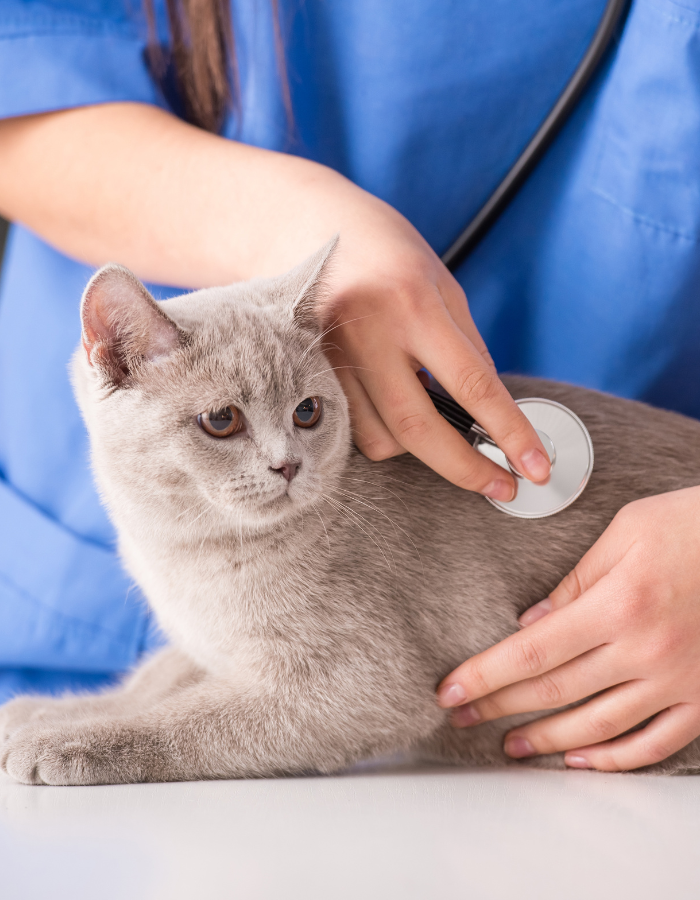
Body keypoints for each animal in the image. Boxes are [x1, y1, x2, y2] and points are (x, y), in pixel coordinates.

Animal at [1, 237, 700, 780]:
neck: (186, 558)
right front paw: (45, 710)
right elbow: (156, 677)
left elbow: (192, 720)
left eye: (307, 411)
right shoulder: (204, 644)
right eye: (222, 420)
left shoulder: (362, 686)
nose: (287, 464)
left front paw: (62, 742)